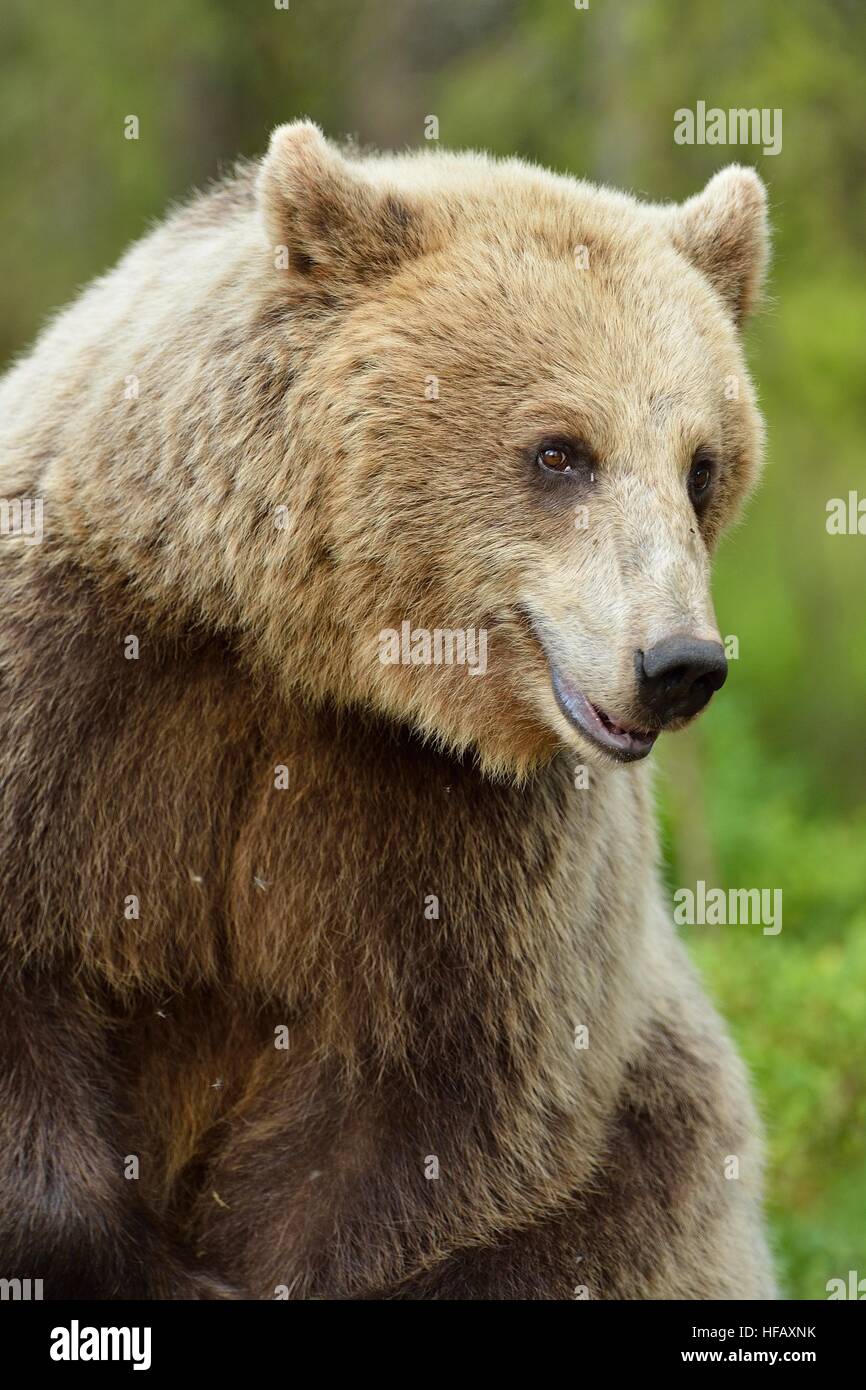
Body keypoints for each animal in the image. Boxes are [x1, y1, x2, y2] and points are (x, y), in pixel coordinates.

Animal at [0, 121, 775, 1300]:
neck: (308, 660)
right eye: (560, 450)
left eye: (701, 465)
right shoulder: (77, 694)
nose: (678, 662)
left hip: (655, 1136)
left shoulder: (471, 846)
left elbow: (425, 1107)